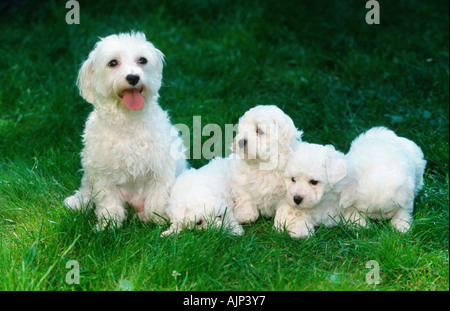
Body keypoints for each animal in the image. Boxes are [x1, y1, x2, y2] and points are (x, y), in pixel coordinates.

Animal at [64, 32, 187, 229]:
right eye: (113, 63)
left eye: (142, 60)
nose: (133, 77)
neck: (128, 122)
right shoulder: (103, 174)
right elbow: (109, 203)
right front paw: (108, 224)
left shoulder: (160, 170)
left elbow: (157, 199)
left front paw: (158, 219)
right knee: (86, 190)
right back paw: (78, 202)